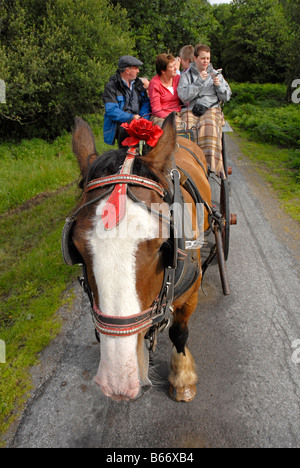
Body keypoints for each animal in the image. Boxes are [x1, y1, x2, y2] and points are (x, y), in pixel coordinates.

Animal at [65, 112, 211, 402]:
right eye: (76, 247)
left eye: (163, 245)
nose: (116, 383)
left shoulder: (192, 291)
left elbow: (179, 332)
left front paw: (182, 378)